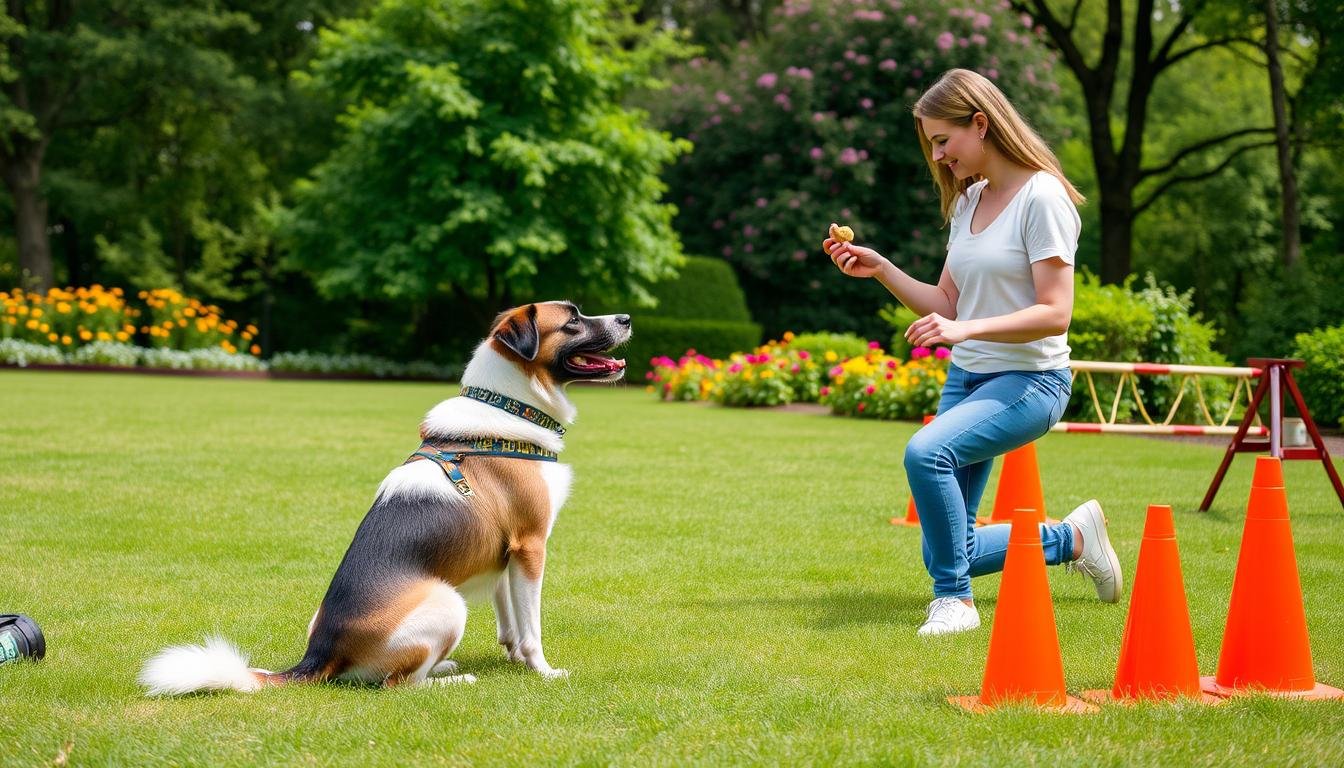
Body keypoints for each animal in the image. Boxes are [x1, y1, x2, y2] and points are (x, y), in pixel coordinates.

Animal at [139, 302, 631, 699]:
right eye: (572, 320)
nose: (626, 318)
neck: (508, 406)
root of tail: (318, 657)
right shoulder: (531, 545)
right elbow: (532, 627)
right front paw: (543, 670)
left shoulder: (507, 557)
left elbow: (510, 618)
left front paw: (515, 660)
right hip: (447, 601)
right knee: (398, 685)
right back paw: (452, 680)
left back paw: (444, 666)